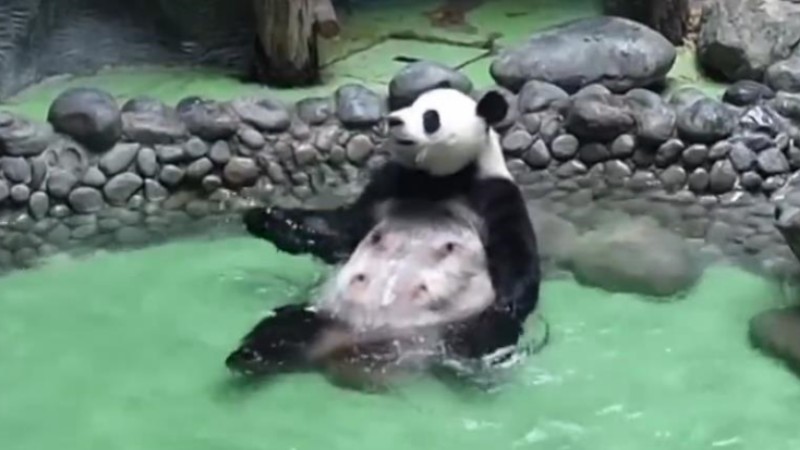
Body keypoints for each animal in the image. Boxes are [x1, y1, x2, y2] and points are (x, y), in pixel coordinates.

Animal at [225, 87, 541, 390]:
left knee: (478, 340)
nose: (394, 120)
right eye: (408, 104)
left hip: (449, 325)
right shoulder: (389, 184)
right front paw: (264, 217)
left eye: (430, 117)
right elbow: (341, 232)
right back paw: (250, 356)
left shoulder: (493, 195)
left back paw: (476, 355)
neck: (437, 182)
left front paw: (502, 310)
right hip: (328, 315)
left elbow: (516, 261)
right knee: (287, 327)